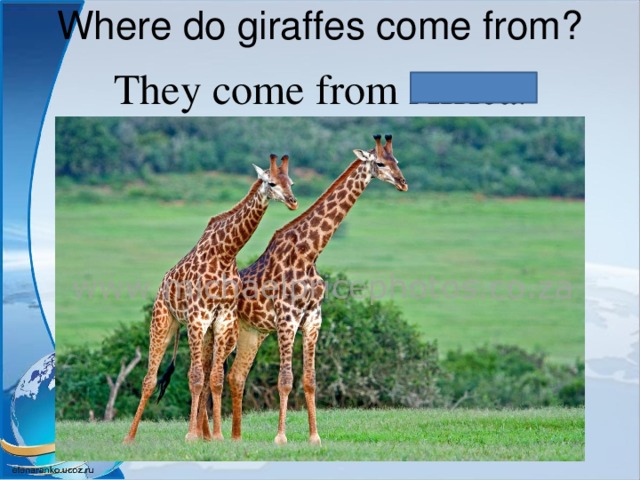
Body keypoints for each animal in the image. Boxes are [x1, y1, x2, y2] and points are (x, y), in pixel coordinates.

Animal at [123, 154, 297, 444]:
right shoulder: (197, 317)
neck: (225, 254)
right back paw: (129, 437)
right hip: (163, 321)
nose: (293, 201)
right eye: (271, 182)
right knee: (150, 379)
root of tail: (162, 286)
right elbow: (194, 377)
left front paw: (217, 436)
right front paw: (191, 436)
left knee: (200, 375)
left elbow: (214, 378)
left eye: (291, 182)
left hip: (201, 332)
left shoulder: (223, 319)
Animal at [226, 134, 407, 445]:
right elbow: (285, 380)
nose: (403, 182)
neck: (309, 253)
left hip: (252, 333)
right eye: (381, 163)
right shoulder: (287, 318)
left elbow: (310, 380)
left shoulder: (313, 318)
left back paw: (234, 437)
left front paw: (314, 436)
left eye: (397, 160)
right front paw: (281, 438)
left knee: (235, 376)